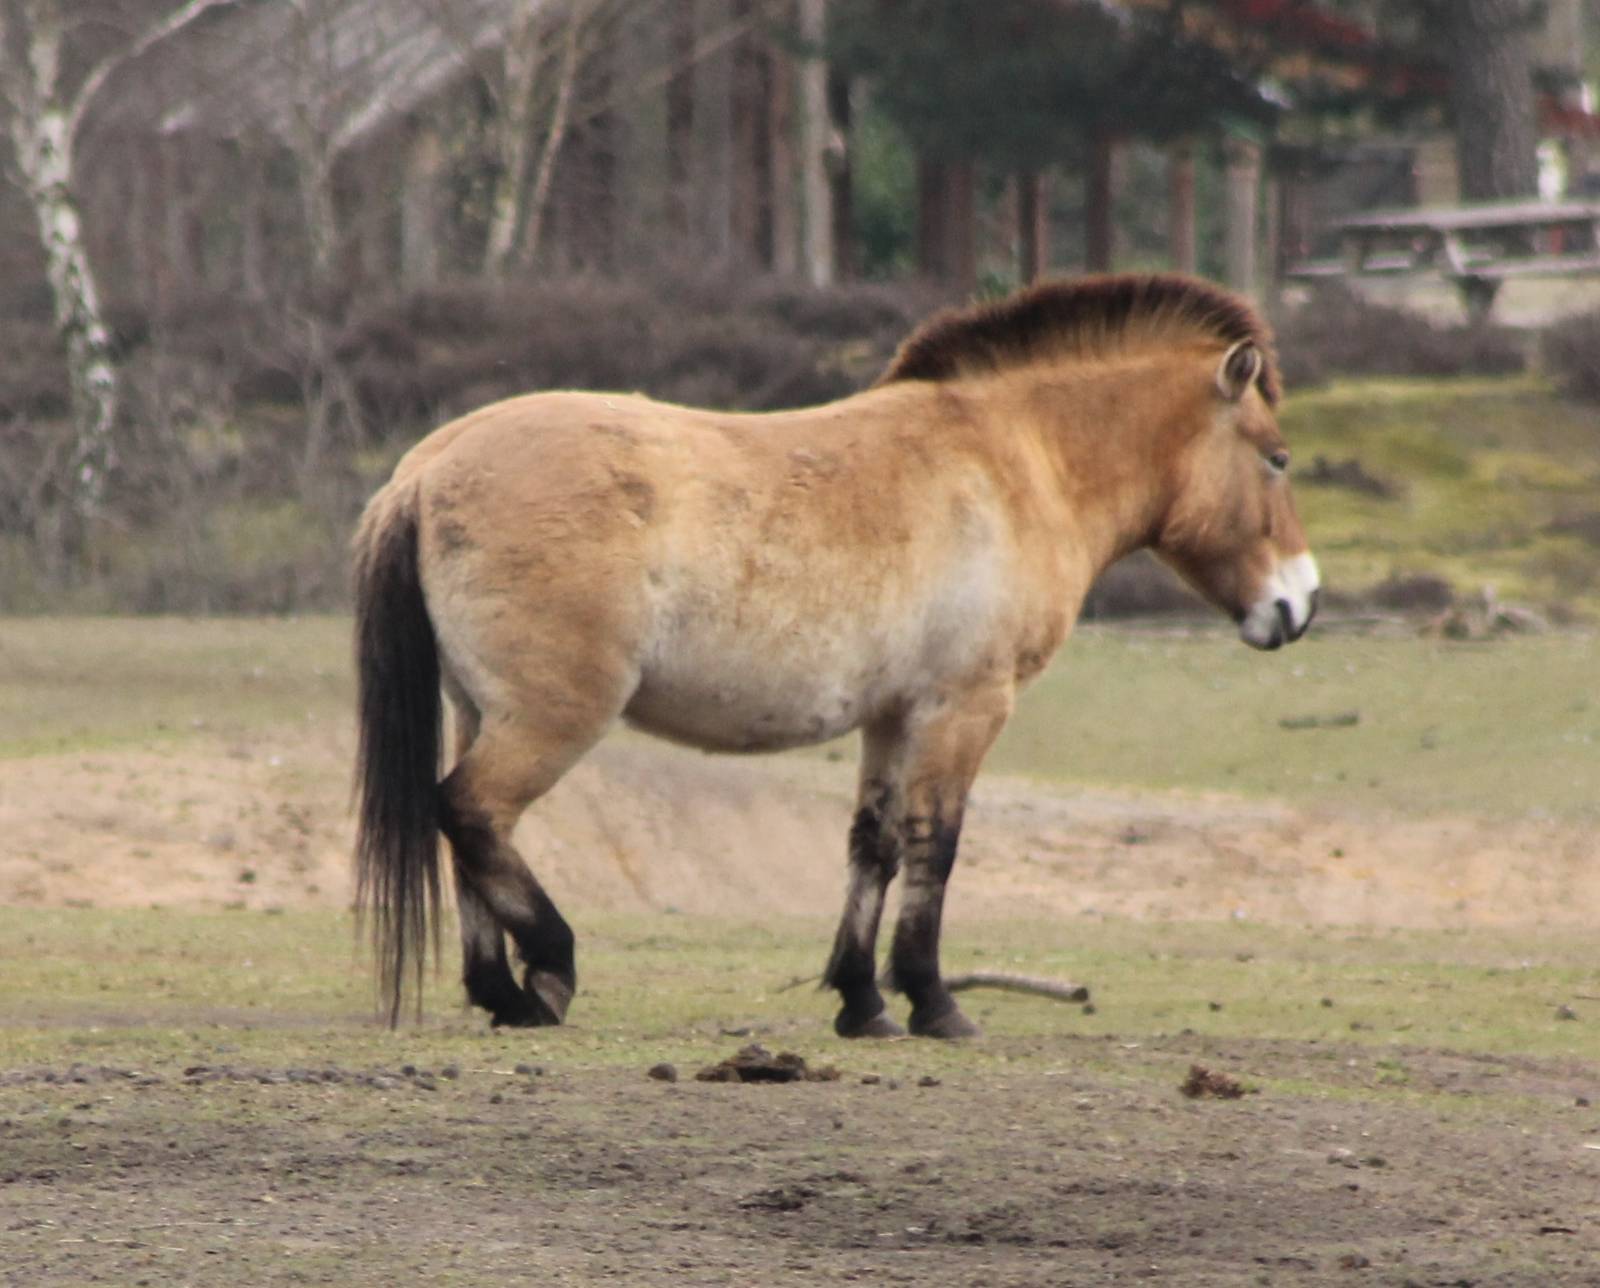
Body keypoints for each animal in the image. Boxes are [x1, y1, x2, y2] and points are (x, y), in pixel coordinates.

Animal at [352, 273, 1319, 1039]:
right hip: (551, 717)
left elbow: (874, 846)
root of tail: (426, 470)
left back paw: (500, 991)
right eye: (1276, 458)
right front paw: (934, 1001)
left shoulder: (892, 717)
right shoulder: (964, 708)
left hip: (478, 708)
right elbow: (937, 845)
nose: (1298, 605)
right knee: (472, 810)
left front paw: (863, 1001)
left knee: (467, 832)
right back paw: (546, 972)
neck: (1013, 464)